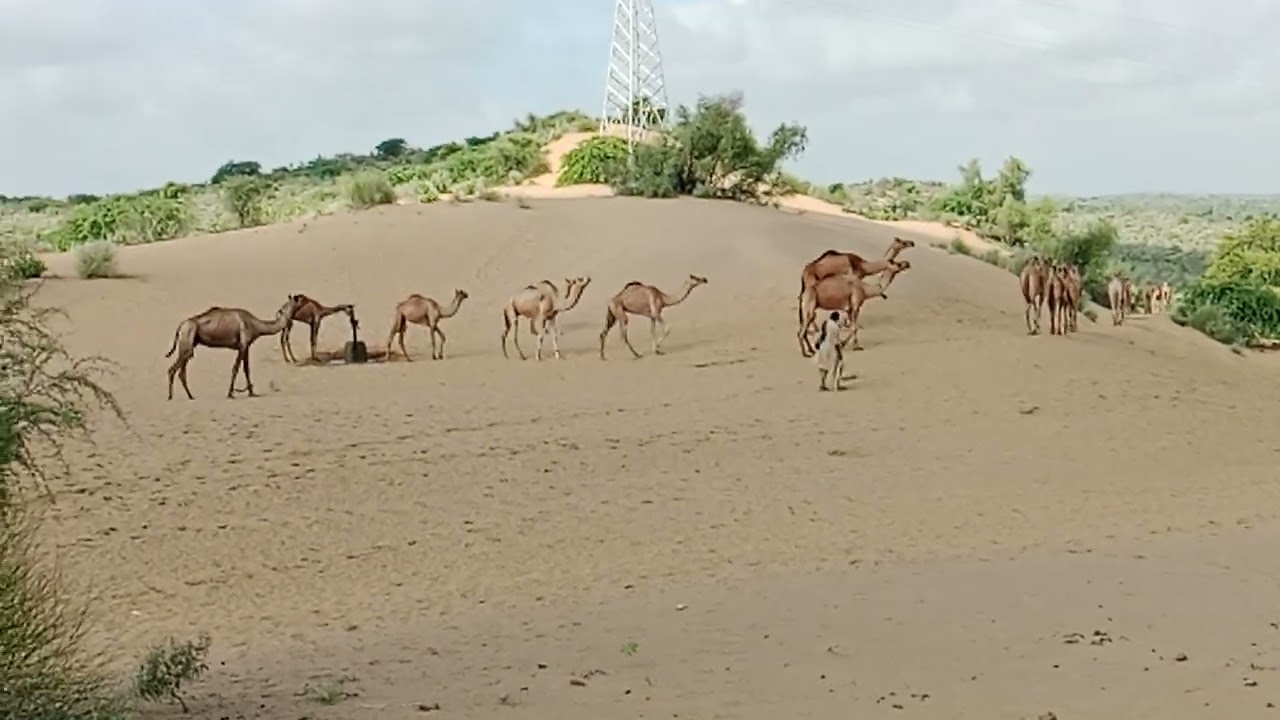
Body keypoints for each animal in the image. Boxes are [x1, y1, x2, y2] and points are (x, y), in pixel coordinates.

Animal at [165, 295, 301, 400]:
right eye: (298, 300)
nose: (301, 297)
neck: (256, 325)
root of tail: (181, 325)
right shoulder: (243, 345)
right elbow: (236, 368)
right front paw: (230, 393)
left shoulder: (246, 347)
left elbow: (246, 368)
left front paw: (252, 392)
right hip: (188, 340)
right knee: (173, 369)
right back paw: (171, 396)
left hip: (189, 344)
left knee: (181, 371)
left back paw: (190, 396)